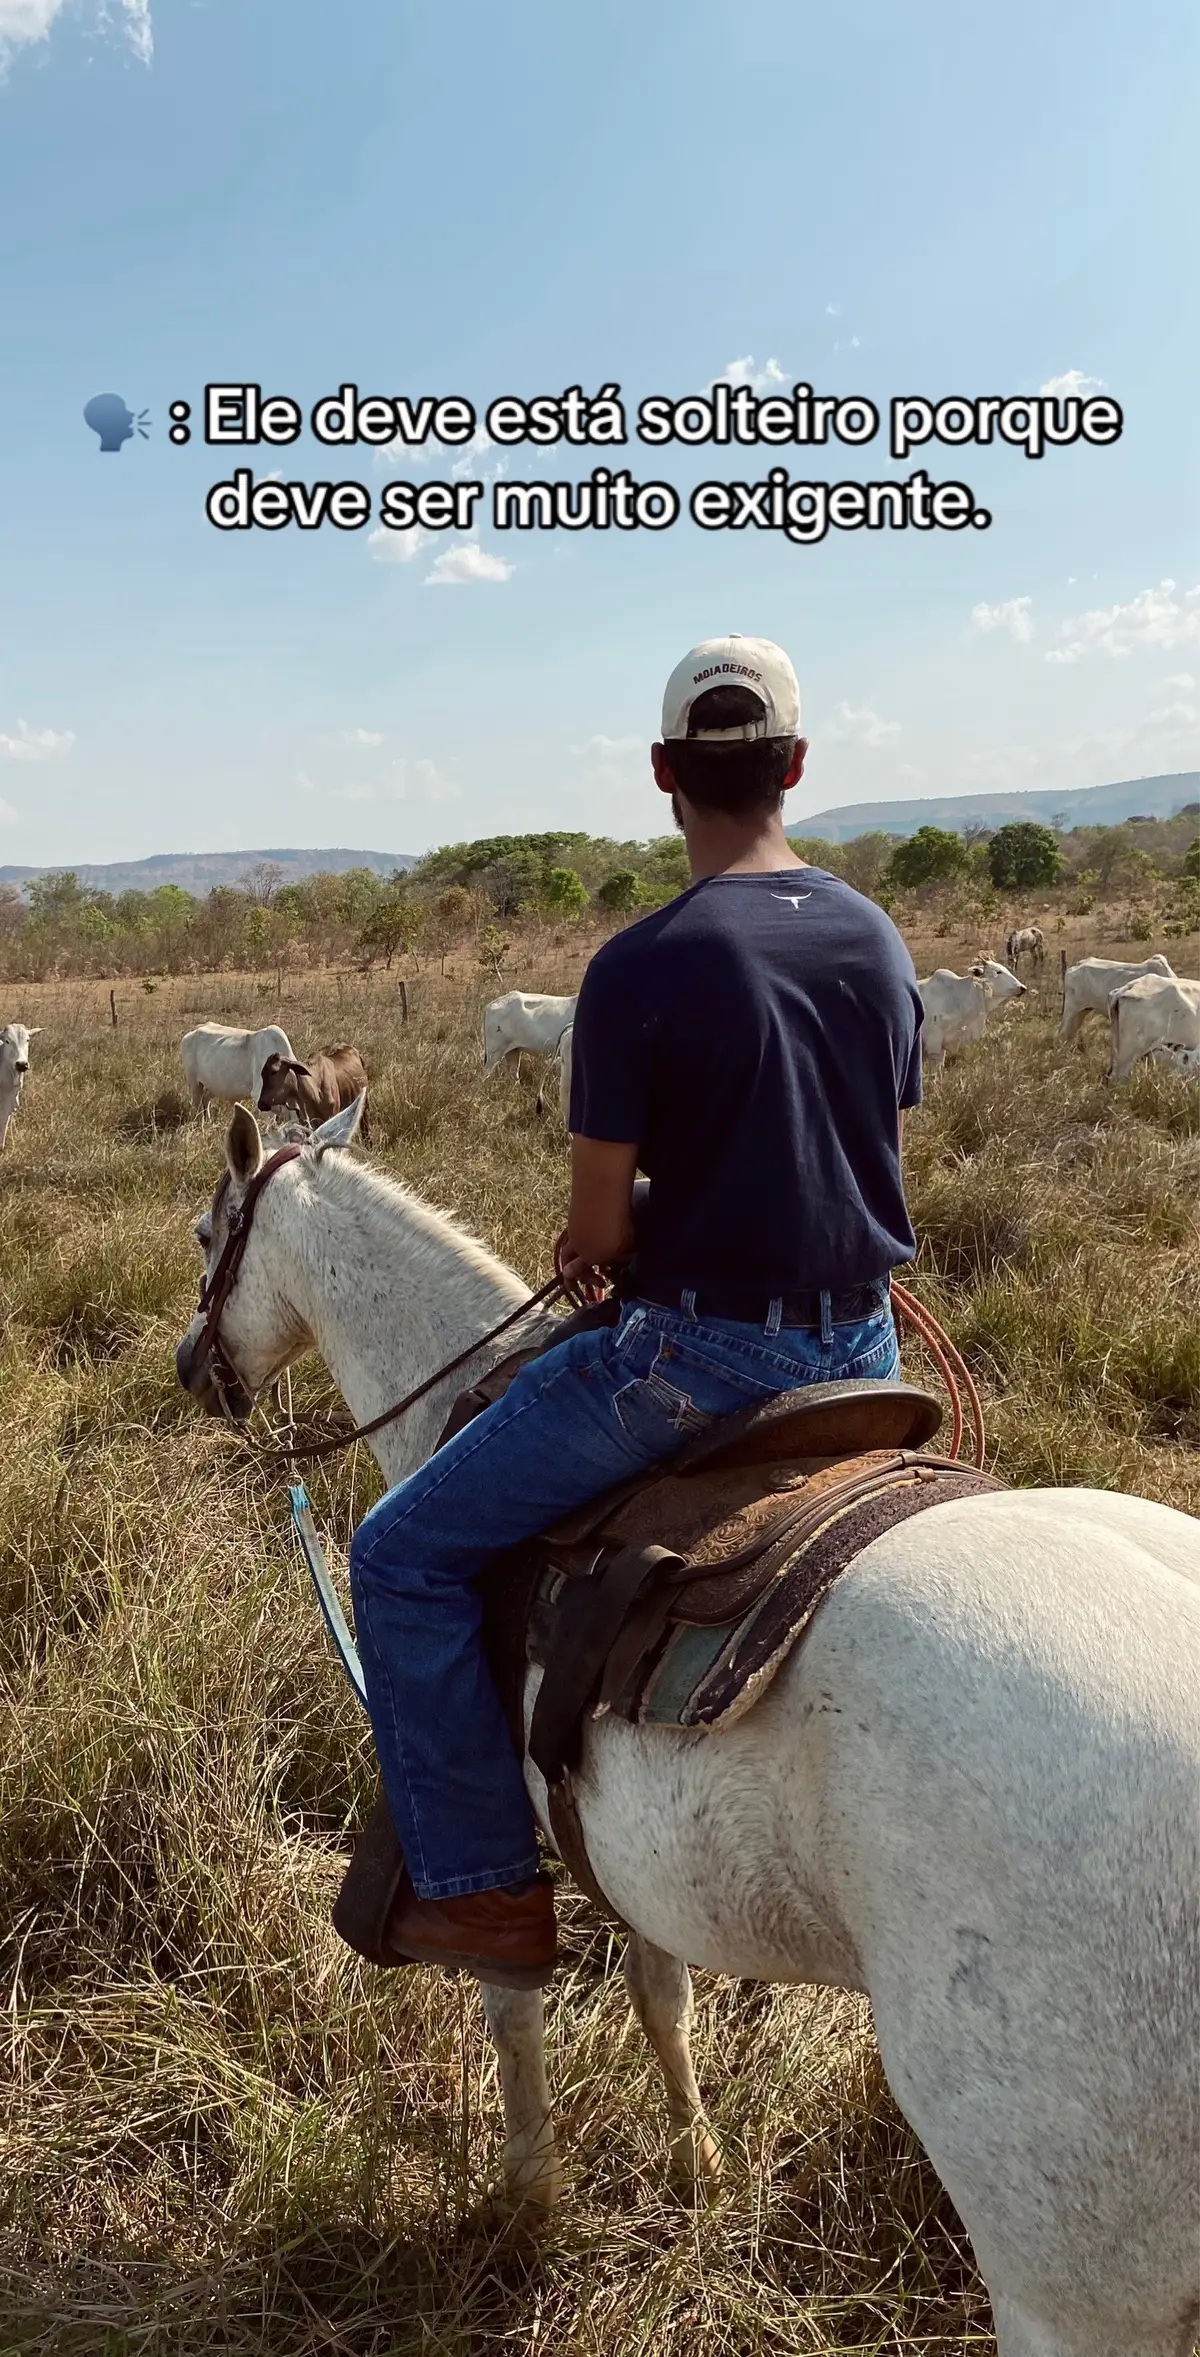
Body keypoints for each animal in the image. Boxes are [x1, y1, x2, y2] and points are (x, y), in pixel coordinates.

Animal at [175, 1103, 1197, 2357]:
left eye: (207, 1233)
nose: (193, 1367)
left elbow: (510, 2003)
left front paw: (528, 2200)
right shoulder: (625, 1846)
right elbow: (663, 1995)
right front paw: (697, 2159)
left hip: (1074, 2269)